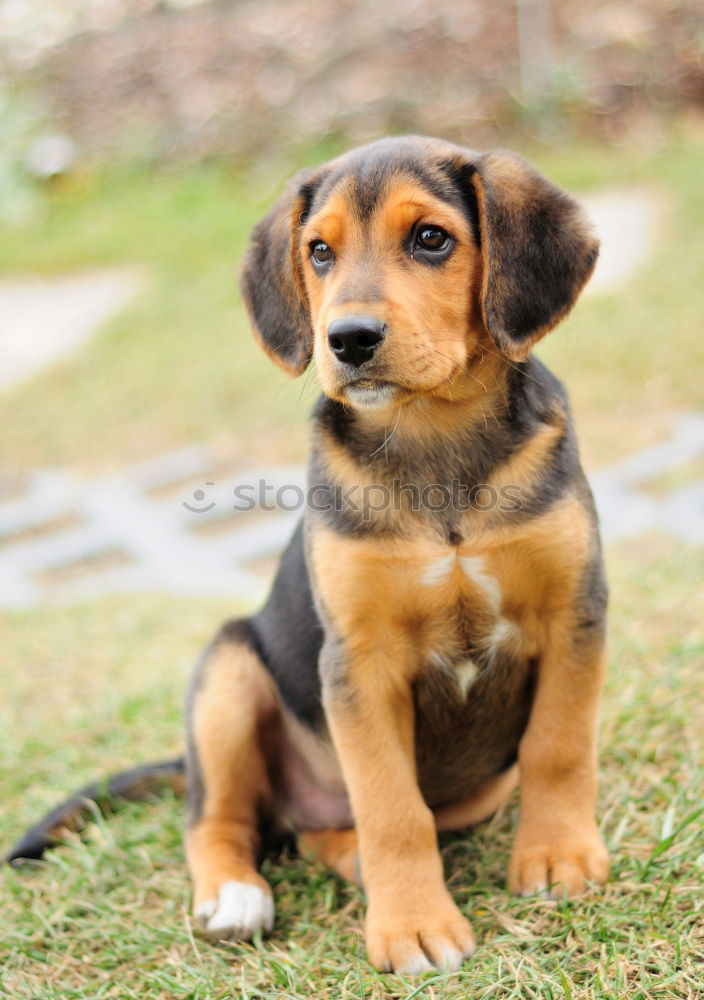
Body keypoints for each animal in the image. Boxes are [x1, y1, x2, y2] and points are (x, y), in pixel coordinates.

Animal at [5, 137, 608, 972]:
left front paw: (557, 857)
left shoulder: (573, 613)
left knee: (323, 829)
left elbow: (558, 748)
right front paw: (413, 925)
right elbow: (391, 806)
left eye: (431, 239)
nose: (348, 339)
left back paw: (348, 859)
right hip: (227, 672)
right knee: (220, 819)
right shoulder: (358, 661)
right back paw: (235, 895)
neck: (434, 440)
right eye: (319, 252)